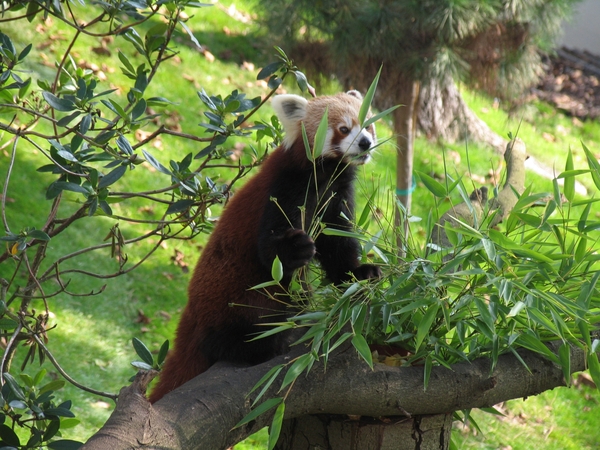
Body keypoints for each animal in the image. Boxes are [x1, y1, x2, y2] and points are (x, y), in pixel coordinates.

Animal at [150, 89, 382, 402]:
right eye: (344, 129)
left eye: (368, 124)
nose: (365, 142)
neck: (325, 177)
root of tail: (192, 315)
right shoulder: (286, 187)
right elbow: (270, 251)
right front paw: (297, 248)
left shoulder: (336, 198)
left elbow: (338, 246)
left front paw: (359, 274)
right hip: (236, 296)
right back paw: (260, 343)